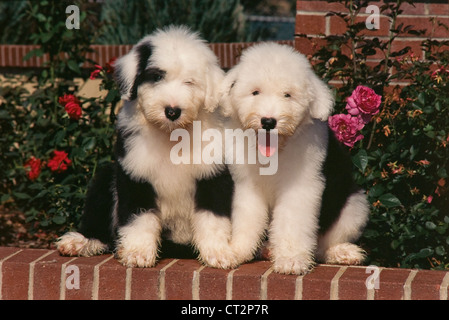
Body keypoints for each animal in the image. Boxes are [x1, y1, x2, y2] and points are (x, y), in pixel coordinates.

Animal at [57, 26, 236, 268]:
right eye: (156, 77)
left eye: (190, 82)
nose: (172, 111)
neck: (171, 136)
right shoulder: (136, 173)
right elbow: (139, 217)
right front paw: (138, 253)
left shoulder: (213, 175)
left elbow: (213, 217)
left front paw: (219, 253)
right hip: (106, 177)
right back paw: (80, 241)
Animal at [219, 42, 370, 276]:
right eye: (255, 92)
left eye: (287, 95)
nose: (268, 121)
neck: (275, 153)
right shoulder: (246, 186)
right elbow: (247, 219)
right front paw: (237, 250)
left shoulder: (300, 187)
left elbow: (292, 222)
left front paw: (291, 259)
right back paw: (268, 249)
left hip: (355, 206)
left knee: (323, 245)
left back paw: (343, 253)